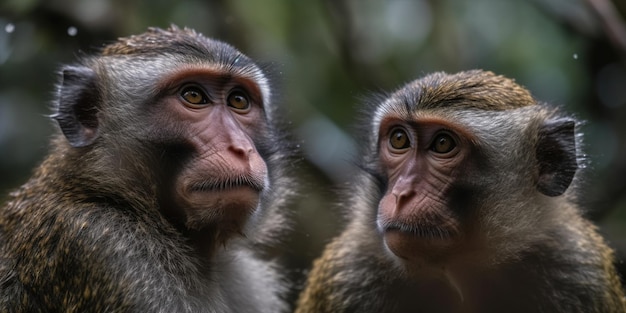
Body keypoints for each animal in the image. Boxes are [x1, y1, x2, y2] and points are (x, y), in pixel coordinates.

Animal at [294, 70, 624, 312]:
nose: (402, 194)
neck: (456, 274)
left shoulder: (578, 271)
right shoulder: (349, 275)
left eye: (443, 144)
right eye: (399, 139)